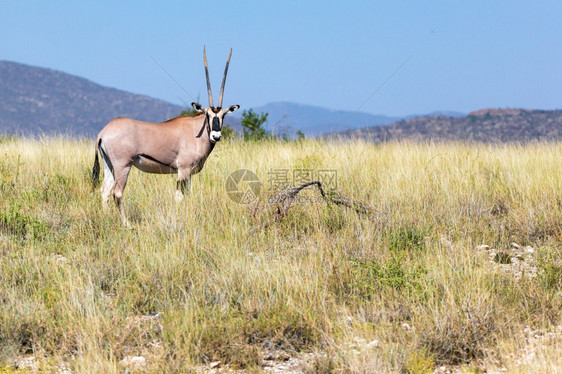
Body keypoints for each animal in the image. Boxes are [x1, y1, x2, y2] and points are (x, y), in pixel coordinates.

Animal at [90, 47, 238, 226]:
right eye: (207, 114)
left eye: (223, 115)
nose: (216, 136)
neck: (197, 131)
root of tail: (103, 132)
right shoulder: (183, 171)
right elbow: (179, 197)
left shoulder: (189, 174)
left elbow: (187, 196)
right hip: (122, 166)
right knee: (117, 192)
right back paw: (127, 224)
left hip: (109, 165)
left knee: (104, 191)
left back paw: (107, 219)